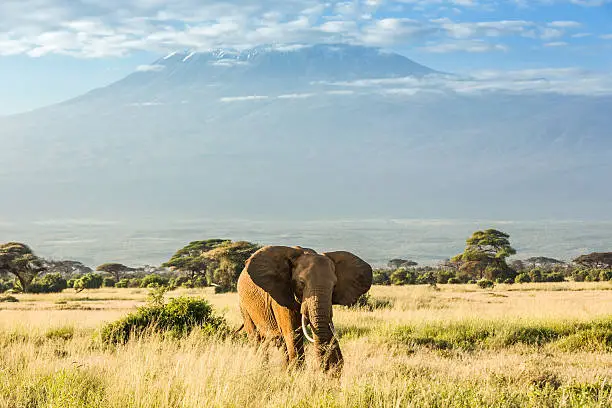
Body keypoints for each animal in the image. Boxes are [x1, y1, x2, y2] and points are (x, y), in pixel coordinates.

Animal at [237, 245, 372, 372]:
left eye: (334, 286)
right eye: (301, 283)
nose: (322, 369)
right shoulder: (281, 296)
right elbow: (293, 336)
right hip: (244, 305)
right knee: (257, 340)